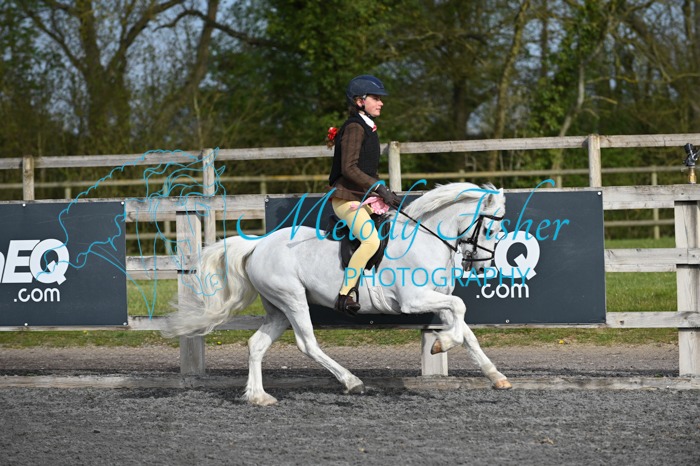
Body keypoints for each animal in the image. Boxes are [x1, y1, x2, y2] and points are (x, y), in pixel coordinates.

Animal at [163, 182, 512, 405]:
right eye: (491, 229)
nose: (482, 268)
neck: (425, 238)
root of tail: (258, 244)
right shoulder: (414, 300)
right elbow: (460, 309)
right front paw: (442, 343)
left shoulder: (436, 300)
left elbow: (466, 330)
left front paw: (495, 376)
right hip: (293, 300)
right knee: (307, 344)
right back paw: (351, 382)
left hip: (278, 309)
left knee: (256, 344)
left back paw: (259, 397)